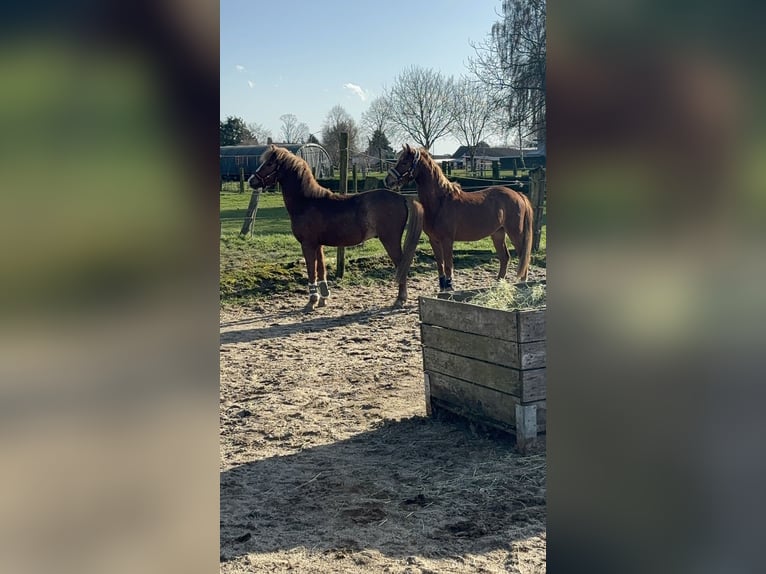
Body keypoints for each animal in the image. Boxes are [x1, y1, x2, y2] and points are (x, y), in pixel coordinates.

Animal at [248, 145, 424, 311]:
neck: (307, 202)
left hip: (390, 240)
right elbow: (321, 270)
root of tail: (402, 197)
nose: (251, 180)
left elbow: (311, 271)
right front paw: (323, 299)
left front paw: (311, 301)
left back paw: (400, 299)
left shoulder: (307, 244)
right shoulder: (318, 245)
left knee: (401, 265)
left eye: (269, 164)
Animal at [385, 143, 533, 291]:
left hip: (515, 233)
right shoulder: (434, 240)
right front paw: (443, 288)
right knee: (505, 258)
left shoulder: (447, 240)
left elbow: (448, 265)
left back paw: (522, 282)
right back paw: (498, 284)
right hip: (498, 234)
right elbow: (440, 265)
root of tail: (518, 194)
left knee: (522, 255)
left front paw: (450, 287)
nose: (388, 181)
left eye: (404, 162)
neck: (440, 201)